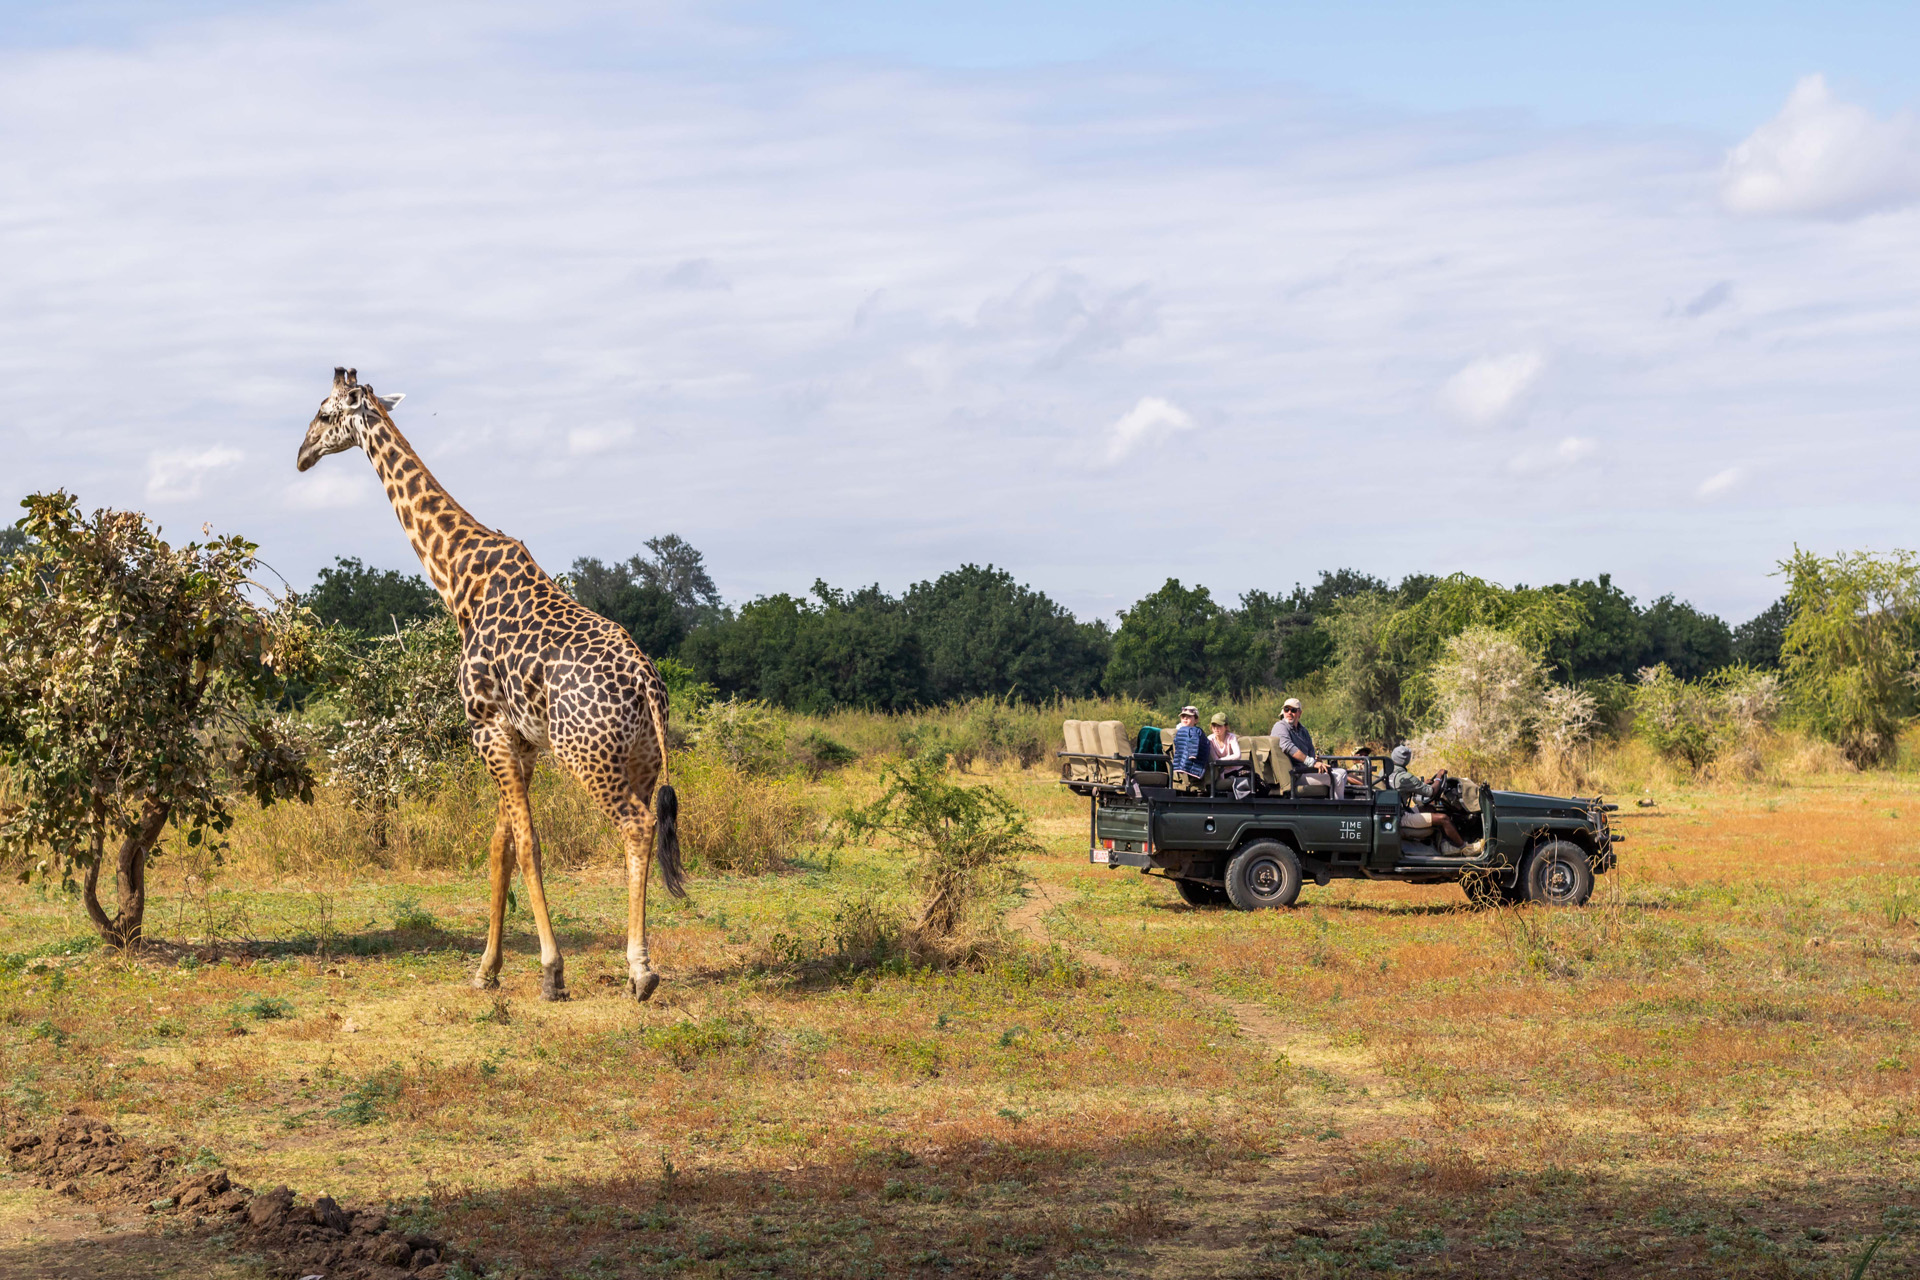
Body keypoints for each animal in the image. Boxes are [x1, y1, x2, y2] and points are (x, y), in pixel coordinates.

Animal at [295, 368, 687, 997]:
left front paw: (551, 970)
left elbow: (527, 844)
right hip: (642, 760)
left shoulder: (486, 727)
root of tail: (649, 686)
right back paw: (636, 968)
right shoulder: (520, 741)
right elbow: (501, 846)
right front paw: (487, 968)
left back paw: (642, 969)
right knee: (647, 829)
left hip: (589, 757)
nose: (301, 456)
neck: (458, 577)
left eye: (325, 414)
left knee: (637, 825)